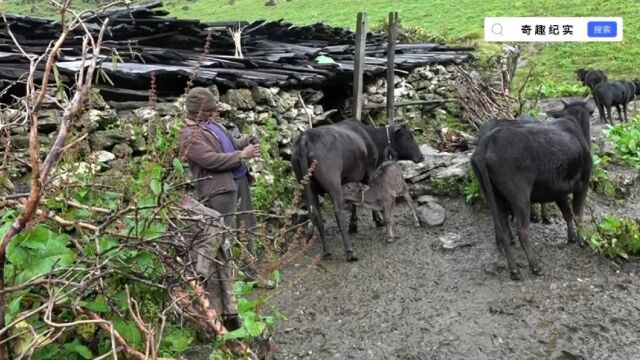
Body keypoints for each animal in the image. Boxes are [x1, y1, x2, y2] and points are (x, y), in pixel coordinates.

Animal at [292, 120, 424, 262]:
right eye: (408, 137)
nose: (421, 157)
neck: (371, 137)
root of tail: (304, 138)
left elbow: (354, 201)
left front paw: (354, 224)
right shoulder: (369, 171)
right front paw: (378, 219)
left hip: (308, 188)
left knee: (316, 215)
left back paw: (326, 251)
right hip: (334, 185)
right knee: (338, 213)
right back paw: (350, 251)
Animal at [470, 99, 596, 282]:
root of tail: (486, 144)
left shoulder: (559, 191)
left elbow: (567, 213)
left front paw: (571, 237)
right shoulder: (582, 184)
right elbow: (577, 214)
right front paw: (581, 240)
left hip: (494, 195)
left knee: (503, 229)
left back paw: (514, 269)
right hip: (520, 197)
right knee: (522, 231)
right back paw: (535, 266)